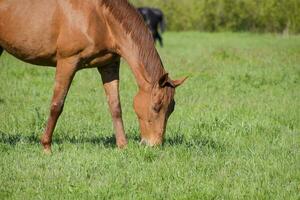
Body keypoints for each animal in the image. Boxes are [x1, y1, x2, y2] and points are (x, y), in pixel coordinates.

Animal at [0, 0, 185, 152]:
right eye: (156, 106)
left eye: (172, 108)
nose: (154, 145)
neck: (100, 16)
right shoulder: (67, 62)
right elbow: (57, 105)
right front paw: (46, 147)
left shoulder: (109, 65)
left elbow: (115, 106)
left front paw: (122, 146)